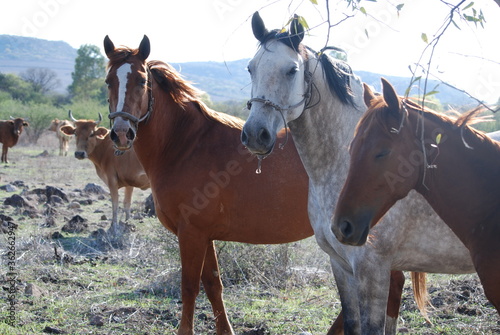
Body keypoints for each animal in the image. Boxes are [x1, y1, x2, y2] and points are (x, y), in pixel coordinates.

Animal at [103, 36, 416, 335]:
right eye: (109, 81)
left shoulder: (190, 233)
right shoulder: (204, 235)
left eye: (141, 81)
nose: (121, 133)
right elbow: (213, 285)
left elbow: (189, 287)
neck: (186, 144)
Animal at [242, 11, 476, 334]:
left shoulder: (372, 269)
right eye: (251, 68)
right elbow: (352, 323)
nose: (255, 134)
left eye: (291, 70)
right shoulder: (340, 266)